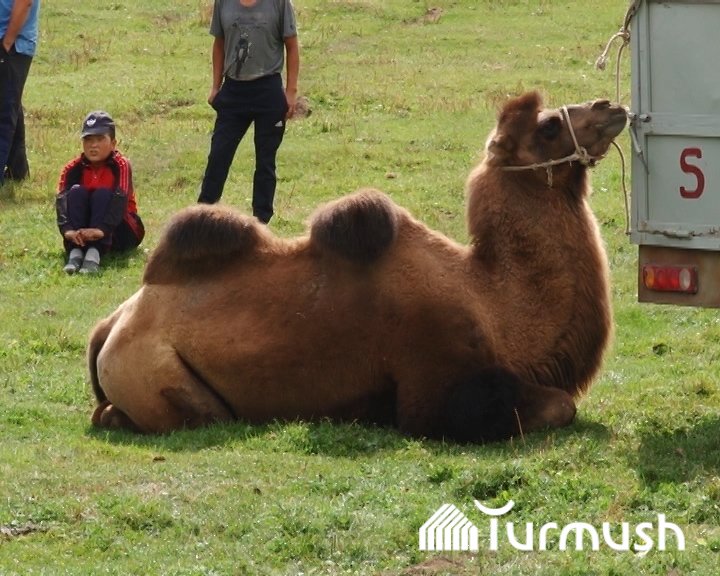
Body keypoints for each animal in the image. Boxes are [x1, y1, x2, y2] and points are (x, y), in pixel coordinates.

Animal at [88, 91, 626, 442]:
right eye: (548, 126)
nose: (611, 107)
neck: (493, 305)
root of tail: (112, 324)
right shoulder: (437, 387)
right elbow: (561, 405)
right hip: (153, 369)